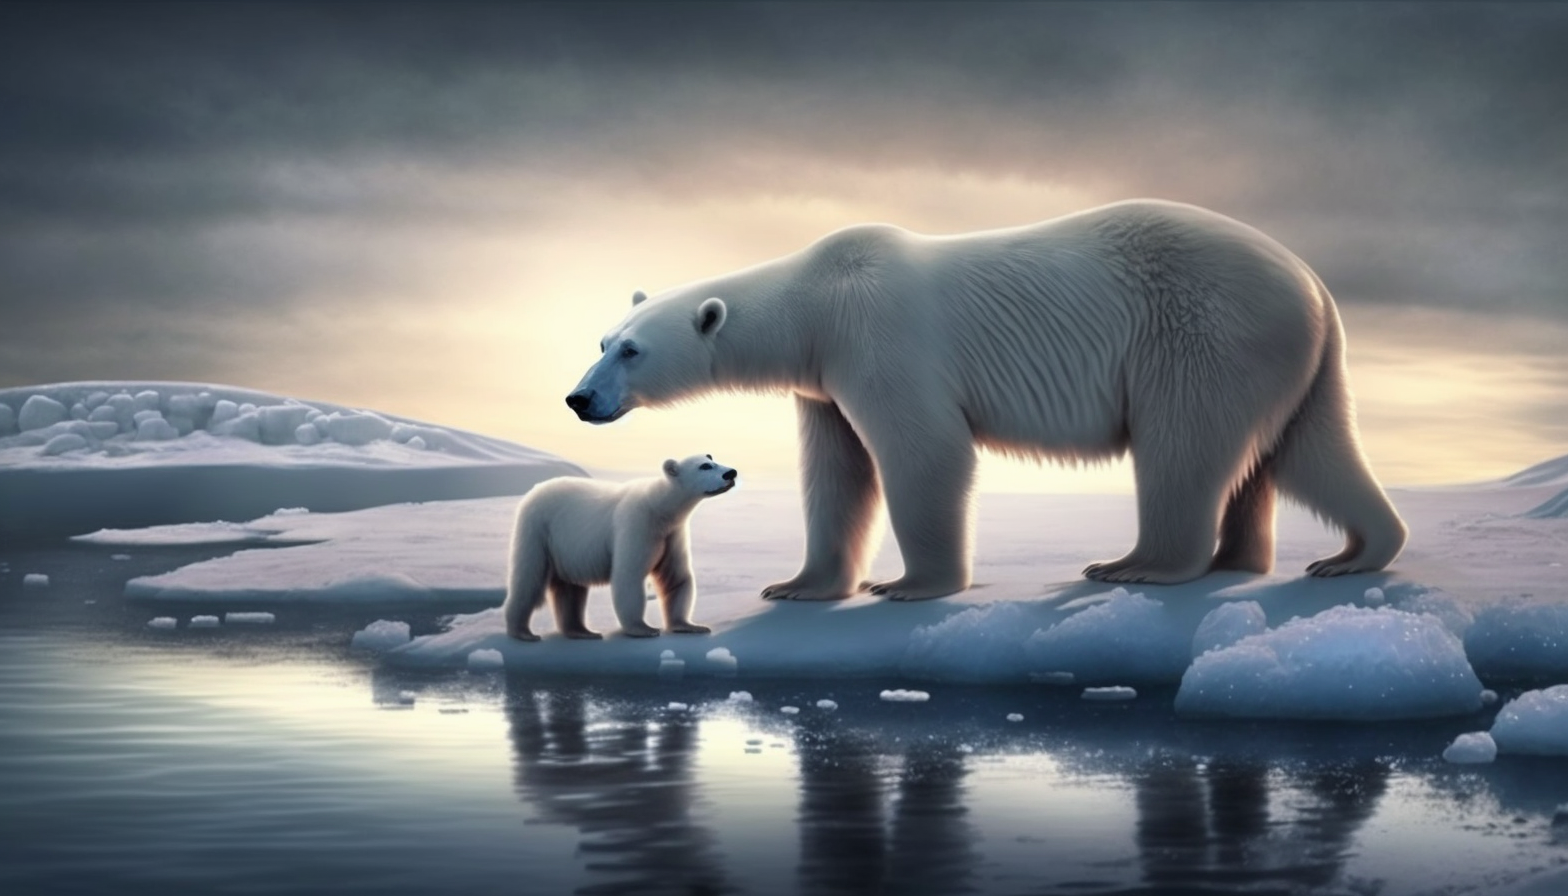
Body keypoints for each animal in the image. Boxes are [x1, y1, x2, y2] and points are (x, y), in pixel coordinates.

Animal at [508, 458, 740, 640]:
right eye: (705, 465)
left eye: (711, 457)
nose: (731, 472)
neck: (660, 507)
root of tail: (534, 490)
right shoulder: (637, 523)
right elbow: (629, 575)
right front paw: (644, 629)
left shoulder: (672, 534)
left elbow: (677, 576)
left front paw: (690, 626)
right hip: (538, 530)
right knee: (529, 577)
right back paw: (523, 632)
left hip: (566, 548)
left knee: (571, 588)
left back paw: (583, 631)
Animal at [564, 200, 1411, 599]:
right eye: (603, 338)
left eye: (631, 350)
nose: (578, 398)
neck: (816, 300)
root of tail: (1315, 285)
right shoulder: (824, 379)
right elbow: (836, 473)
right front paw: (799, 585)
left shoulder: (882, 341)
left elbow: (923, 453)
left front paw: (910, 584)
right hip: (1288, 358)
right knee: (1306, 448)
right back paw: (1344, 554)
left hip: (1203, 333)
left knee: (1185, 447)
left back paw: (1136, 565)